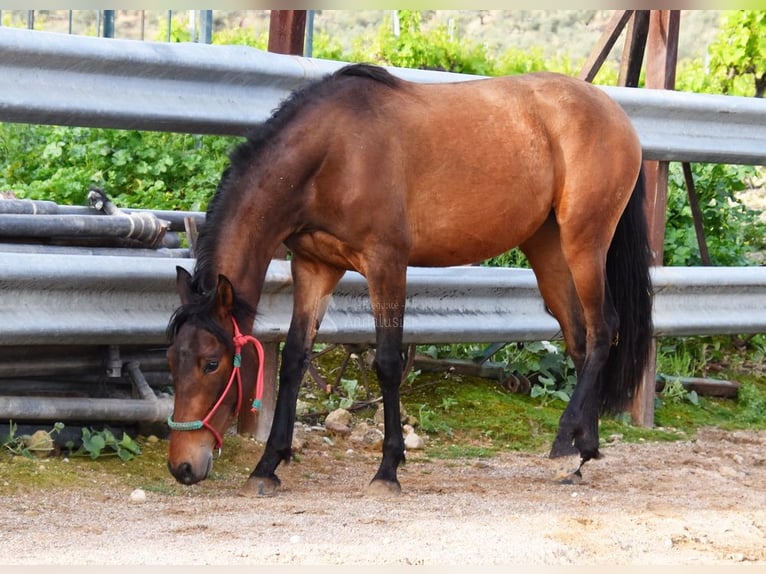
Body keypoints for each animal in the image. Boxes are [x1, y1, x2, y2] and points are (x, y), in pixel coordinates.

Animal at [166, 62, 656, 496]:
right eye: (171, 359)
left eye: (212, 363)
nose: (182, 467)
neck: (333, 151)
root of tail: (615, 114)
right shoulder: (314, 267)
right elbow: (294, 361)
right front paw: (267, 467)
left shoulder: (386, 264)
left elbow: (386, 363)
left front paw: (388, 469)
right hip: (548, 248)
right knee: (579, 338)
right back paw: (581, 451)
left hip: (584, 243)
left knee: (602, 331)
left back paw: (564, 442)